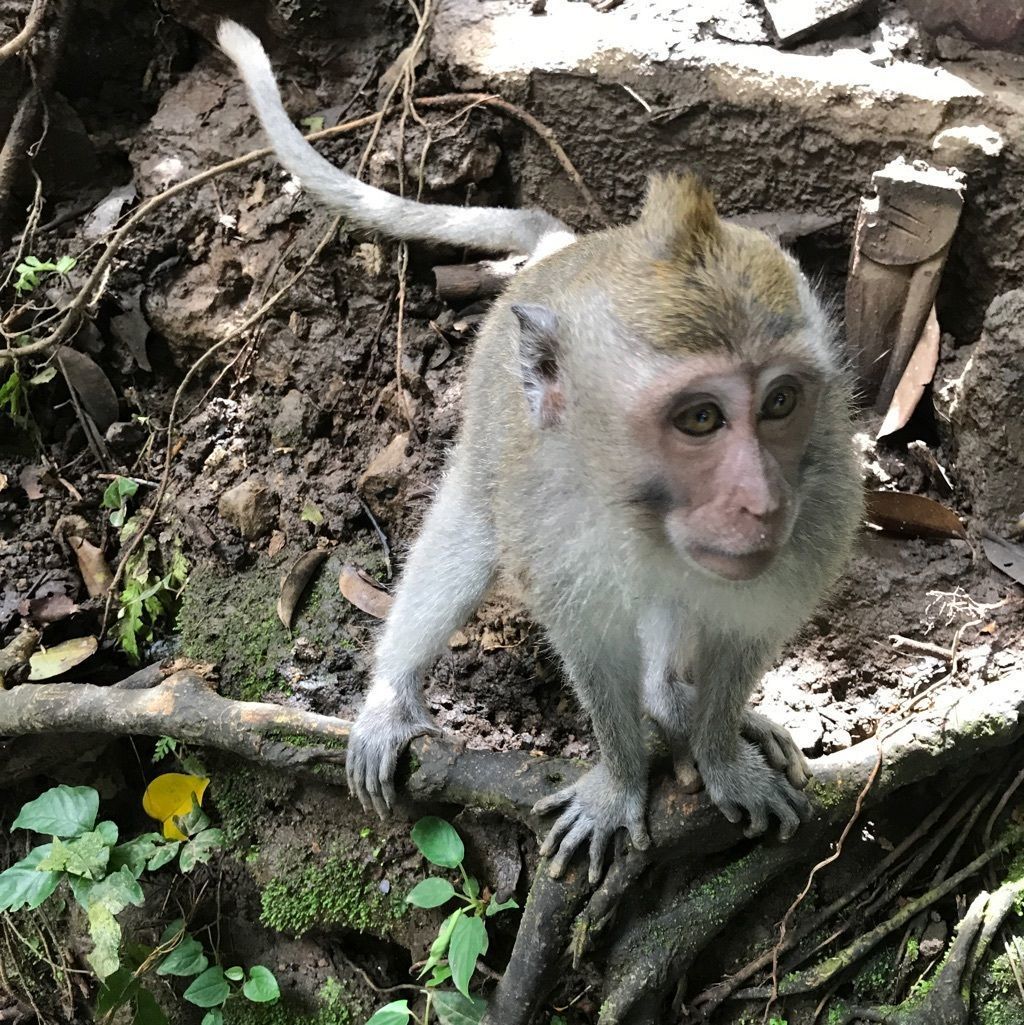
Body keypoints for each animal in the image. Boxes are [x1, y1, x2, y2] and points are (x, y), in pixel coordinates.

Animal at [218, 19, 865, 885]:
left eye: (782, 403)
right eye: (700, 417)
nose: (761, 501)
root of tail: (565, 250)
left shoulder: (822, 509)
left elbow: (743, 634)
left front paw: (723, 751)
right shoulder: (556, 524)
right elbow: (590, 646)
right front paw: (621, 781)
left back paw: (680, 704)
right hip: (490, 404)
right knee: (467, 533)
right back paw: (396, 695)